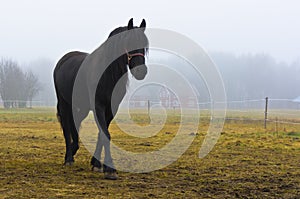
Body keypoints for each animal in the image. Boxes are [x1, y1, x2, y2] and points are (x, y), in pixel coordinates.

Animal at [54, 18, 149, 180]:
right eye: (129, 43)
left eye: (144, 44)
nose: (140, 71)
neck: (107, 74)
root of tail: (63, 60)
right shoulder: (98, 106)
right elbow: (105, 134)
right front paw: (110, 169)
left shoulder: (111, 108)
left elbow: (102, 134)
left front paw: (97, 163)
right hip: (64, 104)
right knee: (66, 128)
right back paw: (69, 158)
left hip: (80, 107)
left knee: (75, 124)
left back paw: (74, 149)